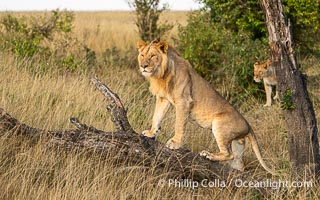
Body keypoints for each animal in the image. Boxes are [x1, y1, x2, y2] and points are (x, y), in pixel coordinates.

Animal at [138, 39, 276, 174]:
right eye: (142, 55)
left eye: (153, 56)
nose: (143, 66)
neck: (161, 74)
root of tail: (248, 126)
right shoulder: (163, 99)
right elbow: (156, 116)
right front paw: (151, 133)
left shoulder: (184, 101)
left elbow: (179, 124)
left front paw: (174, 143)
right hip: (238, 143)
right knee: (238, 163)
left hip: (219, 124)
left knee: (228, 154)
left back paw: (208, 155)